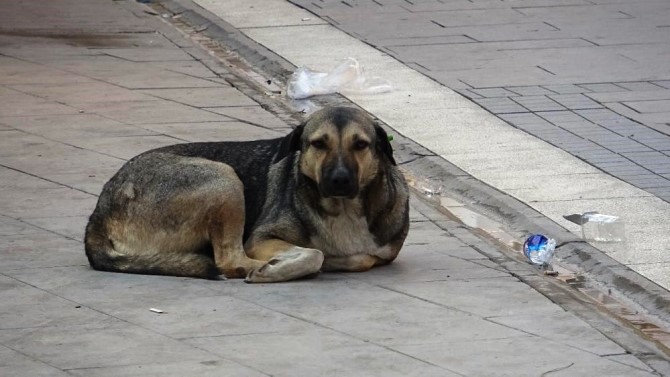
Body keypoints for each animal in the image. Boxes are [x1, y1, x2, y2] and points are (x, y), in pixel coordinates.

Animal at [84, 106, 410, 282]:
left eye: (361, 145)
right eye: (318, 143)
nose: (339, 180)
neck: (343, 207)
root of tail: (99, 210)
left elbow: (360, 258)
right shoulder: (261, 239)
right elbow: (315, 253)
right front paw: (284, 265)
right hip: (224, 178)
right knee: (228, 259)